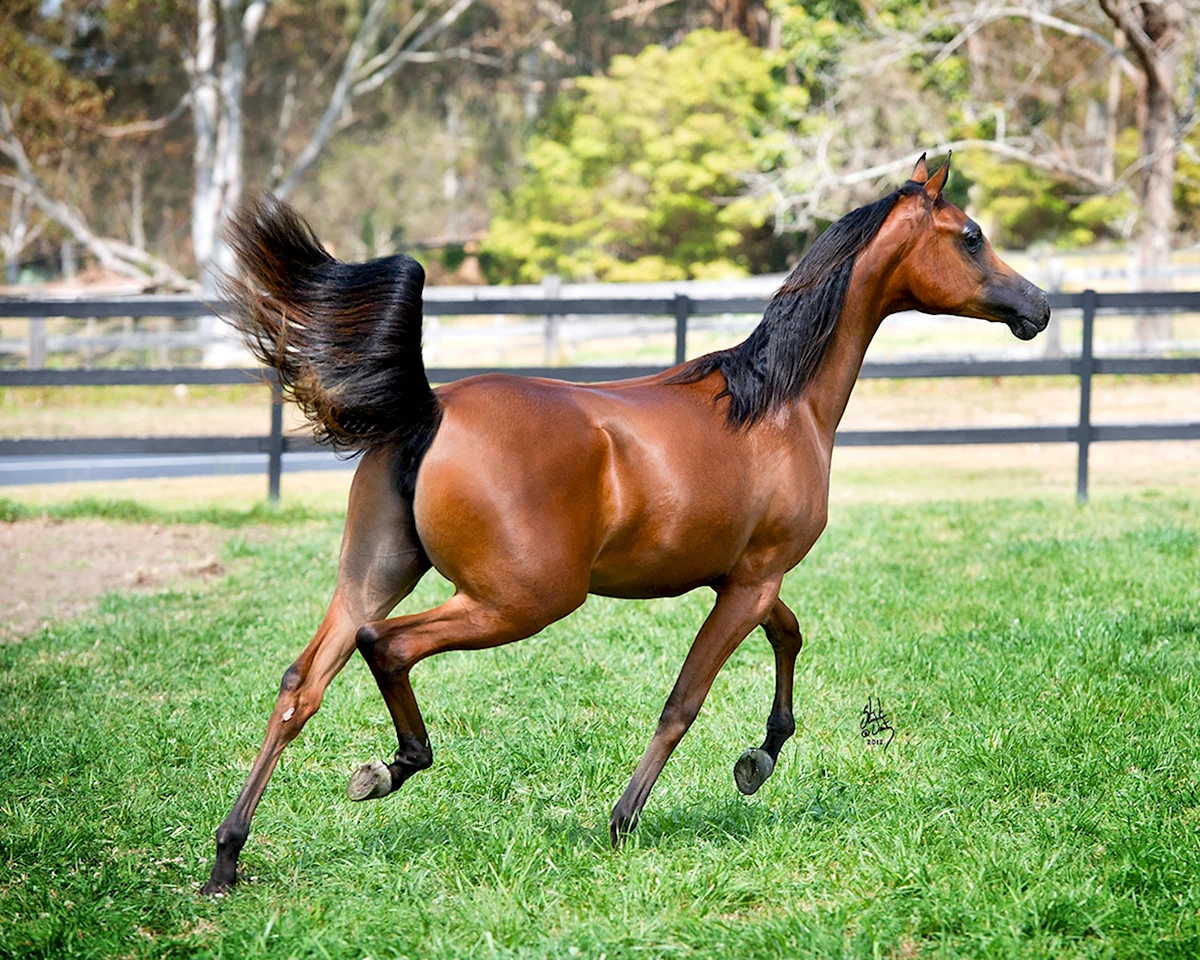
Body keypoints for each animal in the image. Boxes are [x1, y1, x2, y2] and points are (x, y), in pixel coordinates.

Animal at [204, 153, 1051, 897]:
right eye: (971, 235)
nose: (1037, 308)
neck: (779, 404)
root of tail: (431, 410)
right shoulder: (753, 579)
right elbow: (686, 698)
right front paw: (625, 818)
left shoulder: (745, 576)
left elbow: (789, 637)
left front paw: (760, 758)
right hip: (521, 600)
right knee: (387, 646)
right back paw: (389, 769)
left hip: (374, 575)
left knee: (301, 686)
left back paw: (227, 860)